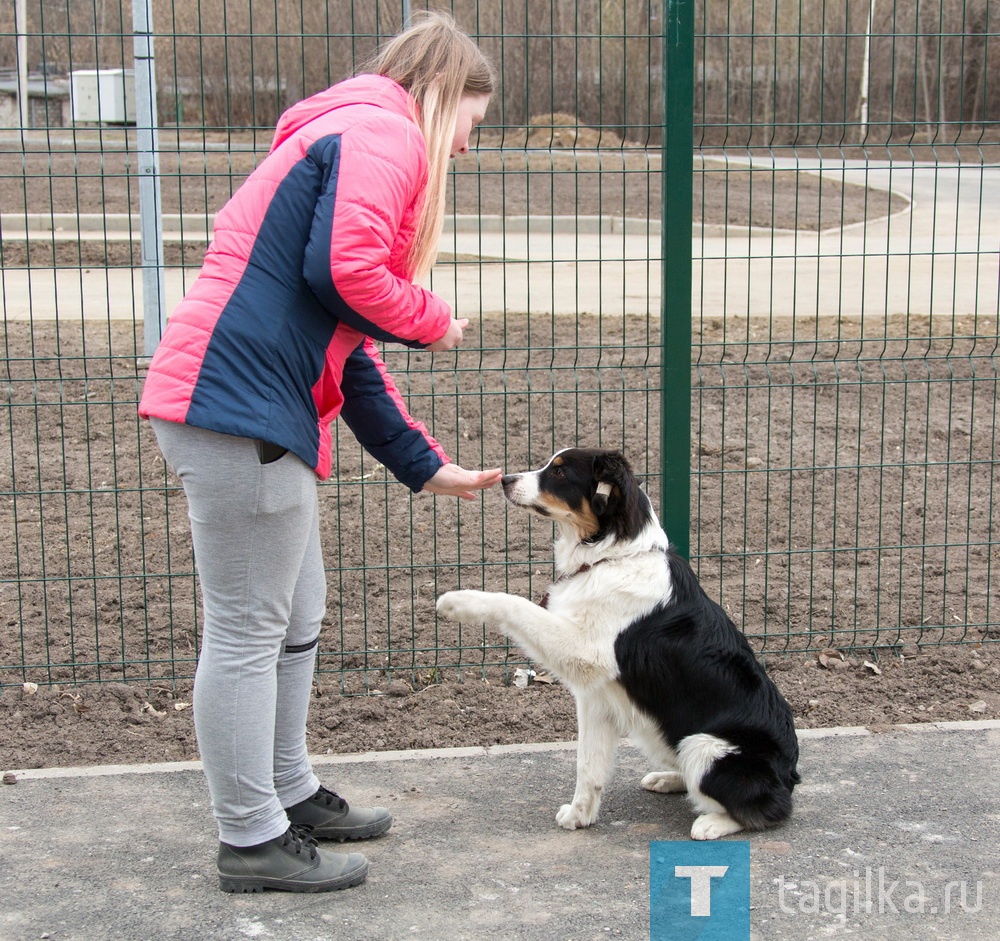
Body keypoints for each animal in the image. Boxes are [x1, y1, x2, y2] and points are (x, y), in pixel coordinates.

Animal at [434, 446, 800, 836]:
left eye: (560, 472)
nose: (505, 479)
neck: (609, 556)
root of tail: (789, 776)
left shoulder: (585, 653)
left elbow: (514, 603)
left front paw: (459, 601)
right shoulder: (596, 697)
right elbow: (588, 764)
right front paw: (580, 816)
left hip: (704, 745)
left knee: (765, 809)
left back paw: (712, 823)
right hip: (659, 733)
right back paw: (670, 778)